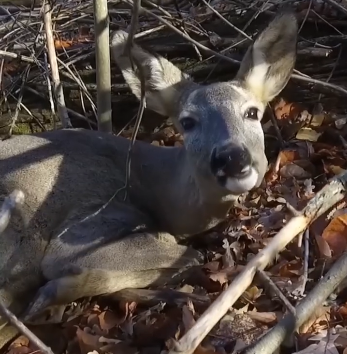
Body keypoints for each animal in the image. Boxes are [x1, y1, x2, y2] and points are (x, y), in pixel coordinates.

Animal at [0, 11, 298, 348]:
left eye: (252, 112)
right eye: (187, 122)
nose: (232, 157)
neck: (154, 186)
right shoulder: (84, 226)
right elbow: (189, 255)